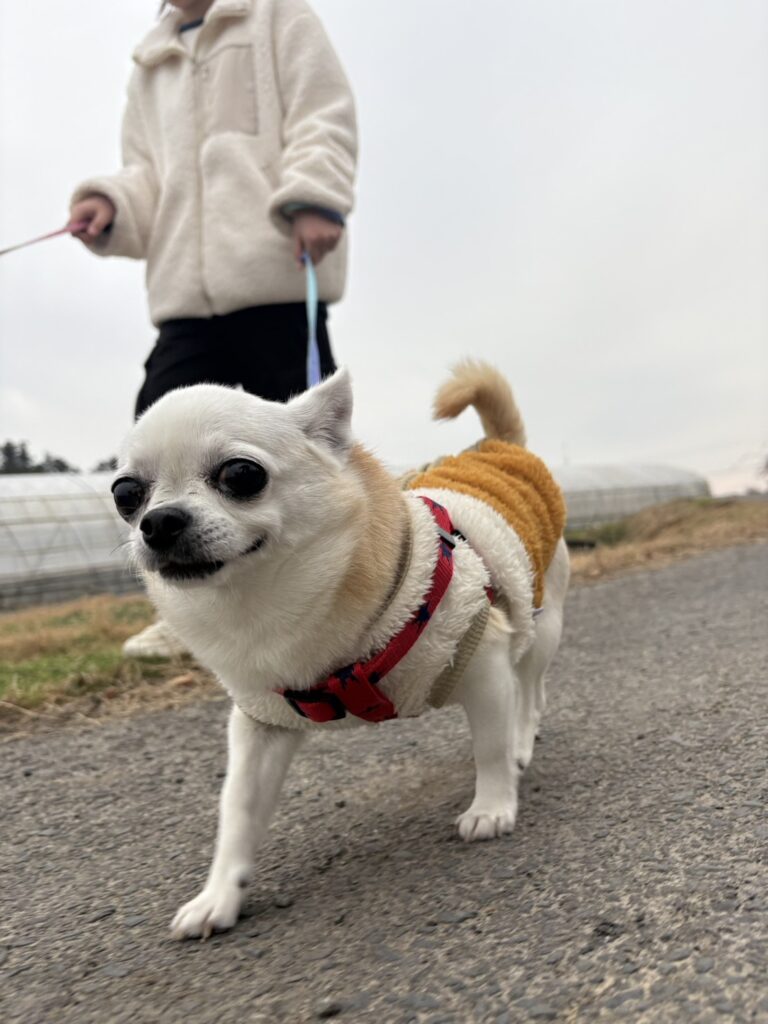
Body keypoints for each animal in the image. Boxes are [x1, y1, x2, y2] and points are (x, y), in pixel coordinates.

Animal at [112, 361, 570, 939]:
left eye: (241, 475)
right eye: (125, 494)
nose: (158, 521)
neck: (268, 608)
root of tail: (499, 444)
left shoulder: (481, 657)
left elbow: (489, 747)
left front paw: (492, 806)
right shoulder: (262, 723)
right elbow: (237, 811)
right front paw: (218, 896)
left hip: (539, 623)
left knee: (531, 689)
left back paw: (521, 742)